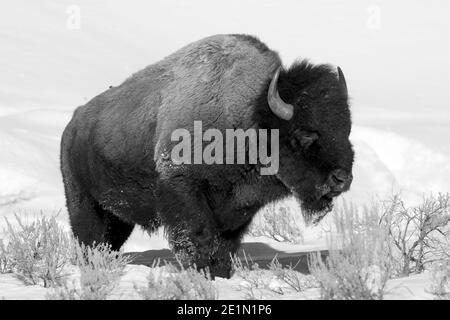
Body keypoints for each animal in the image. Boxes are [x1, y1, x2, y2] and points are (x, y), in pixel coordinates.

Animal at [60, 34, 356, 278]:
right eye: (304, 134)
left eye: (346, 128)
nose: (342, 178)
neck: (252, 117)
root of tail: (73, 124)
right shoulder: (183, 190)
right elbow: (199, 237)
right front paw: (201, 273)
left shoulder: (239, 210)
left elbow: (225, 246)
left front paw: (221, 274)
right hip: (83, 202)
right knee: (89, 238)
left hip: (119, 216)